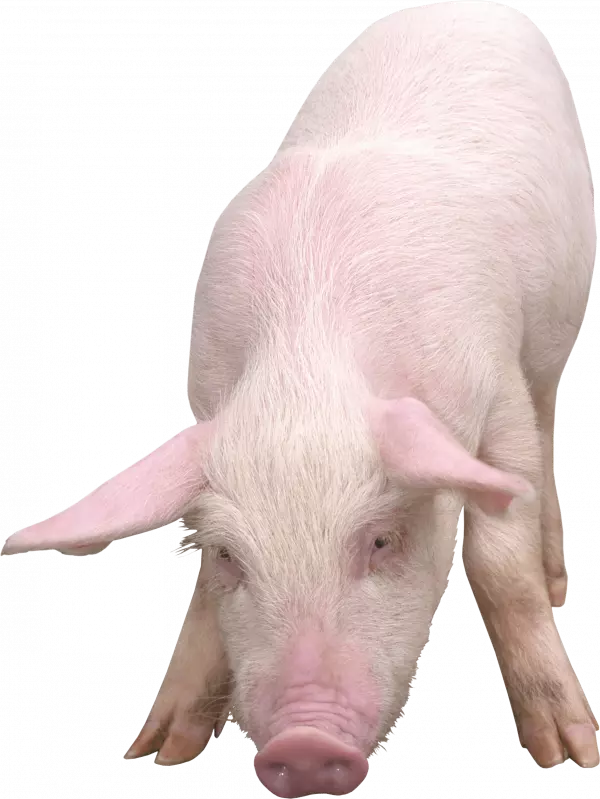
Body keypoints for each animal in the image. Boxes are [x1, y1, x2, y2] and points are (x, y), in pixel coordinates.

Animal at [3, 0, 598, 794]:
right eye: (230, 555)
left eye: (381, 540)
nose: (304, 746)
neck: (305, 364)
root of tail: (467, 2)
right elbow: (201, 600)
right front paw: (159, 750)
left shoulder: (494, 381)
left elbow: (500, 565)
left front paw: (569, 753)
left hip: (555, 330)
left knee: (547, 420)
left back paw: (558, 577)